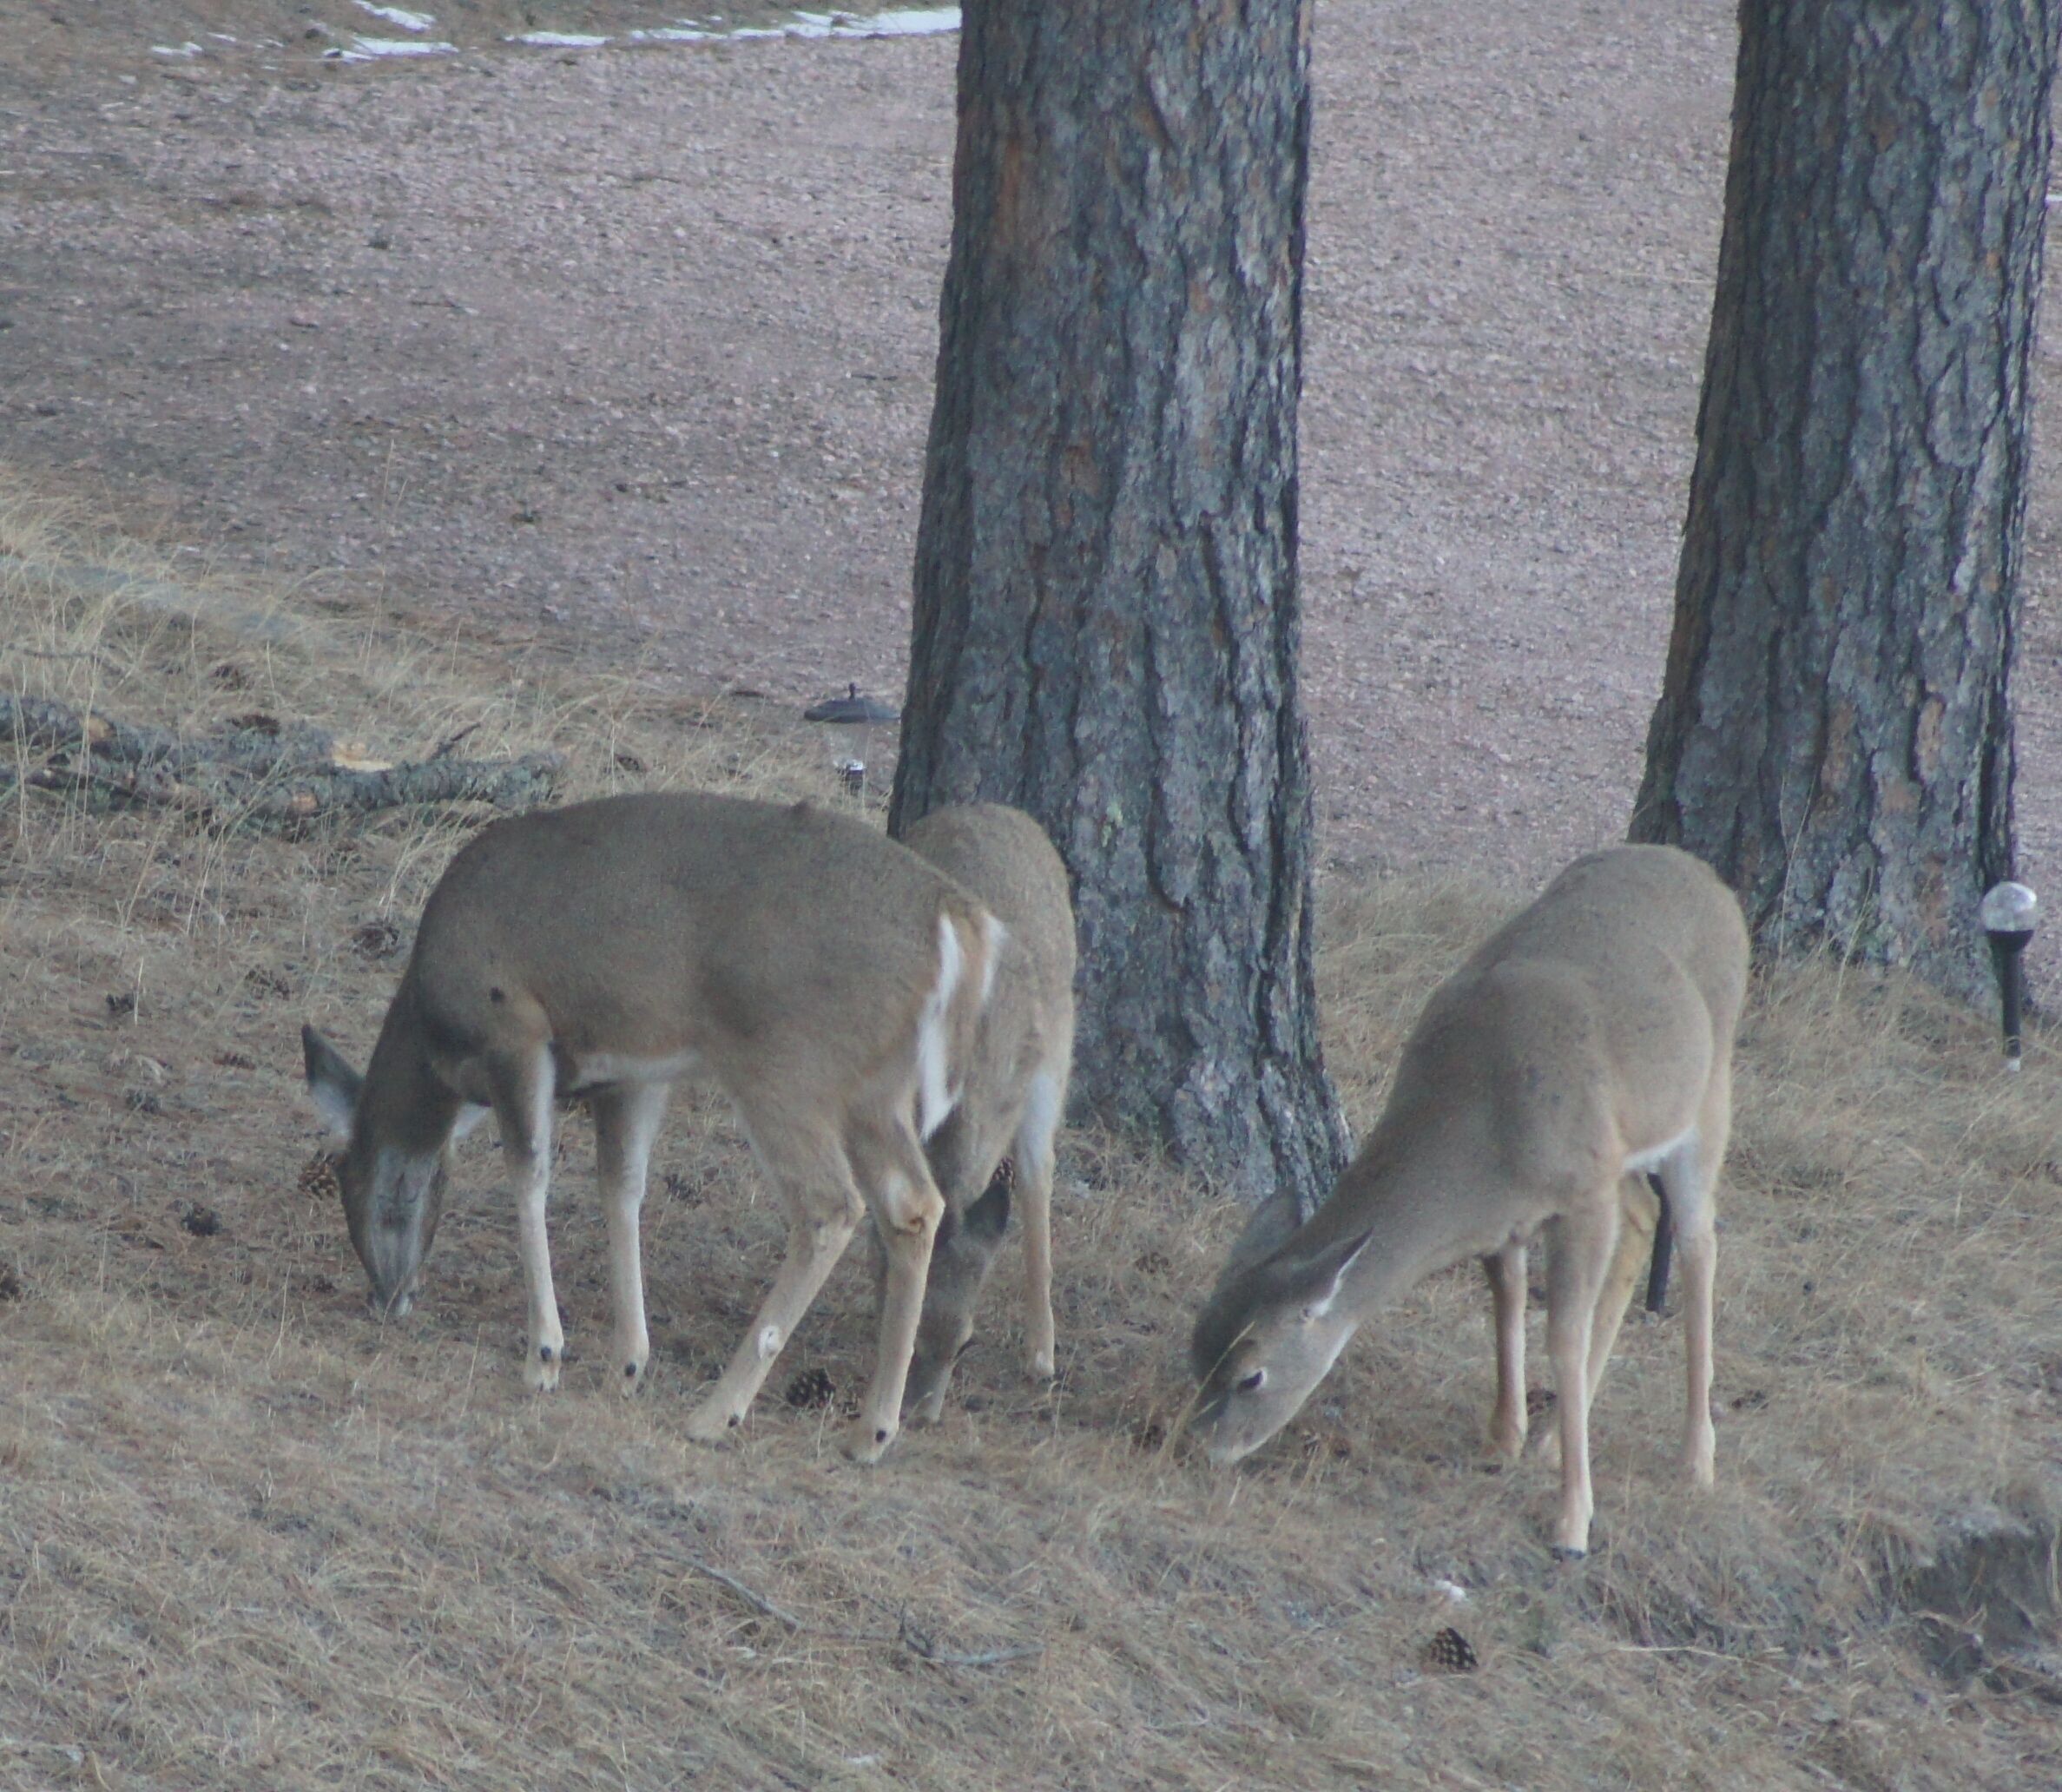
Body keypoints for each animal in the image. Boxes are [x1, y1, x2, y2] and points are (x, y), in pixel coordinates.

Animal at [300, 790, 1005, 1464]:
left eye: (380, 1193)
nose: (387, 1297)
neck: (435, 1039)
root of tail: (958, 922)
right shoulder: (632, 1074)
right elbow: (622, 1186)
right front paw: (629, 1363)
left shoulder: (515, 1028)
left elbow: (529, 1173)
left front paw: (545, 1356)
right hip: (875, 1088)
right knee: (914, 1204)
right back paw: (871, 1433)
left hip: (787, 1062)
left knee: (830, 1206)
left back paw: (716, 1414)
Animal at [889, 802, 1077, 1423]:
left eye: (967, 1344)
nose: (923, 1415)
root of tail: (998, 809)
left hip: (1054, 1063)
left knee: (1039, 1180)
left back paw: (1042, 1355)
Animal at [1186, 844, 1749, 1558]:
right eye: (1195, 1352)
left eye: (1249, 1376)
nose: (1203, 1447)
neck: (1480, 1121)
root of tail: (1708, 876)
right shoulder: (1512, 1214)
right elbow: (1505, 1303)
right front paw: (1505, 1439)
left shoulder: (1579, 1190)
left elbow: (1562, 1336)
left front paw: (1572, 1520)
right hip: (1624, 1147)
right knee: (1647, 1217)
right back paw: (1554, 1439)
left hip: (1708, 1091)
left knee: (1700, 1241)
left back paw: (1695, 1458)